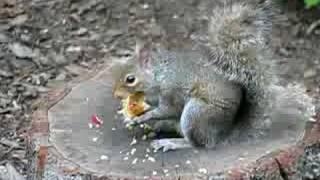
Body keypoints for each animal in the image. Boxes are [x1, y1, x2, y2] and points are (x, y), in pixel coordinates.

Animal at [109, 0, 316, 151]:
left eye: (130, 79)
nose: (116, 95)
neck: (159, 74)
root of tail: (223, 134)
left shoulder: (172, 90)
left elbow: (166, 109)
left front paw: (144, 117)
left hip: (196, 113)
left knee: (198, 144)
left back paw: (172, 142)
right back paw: (159, 128)